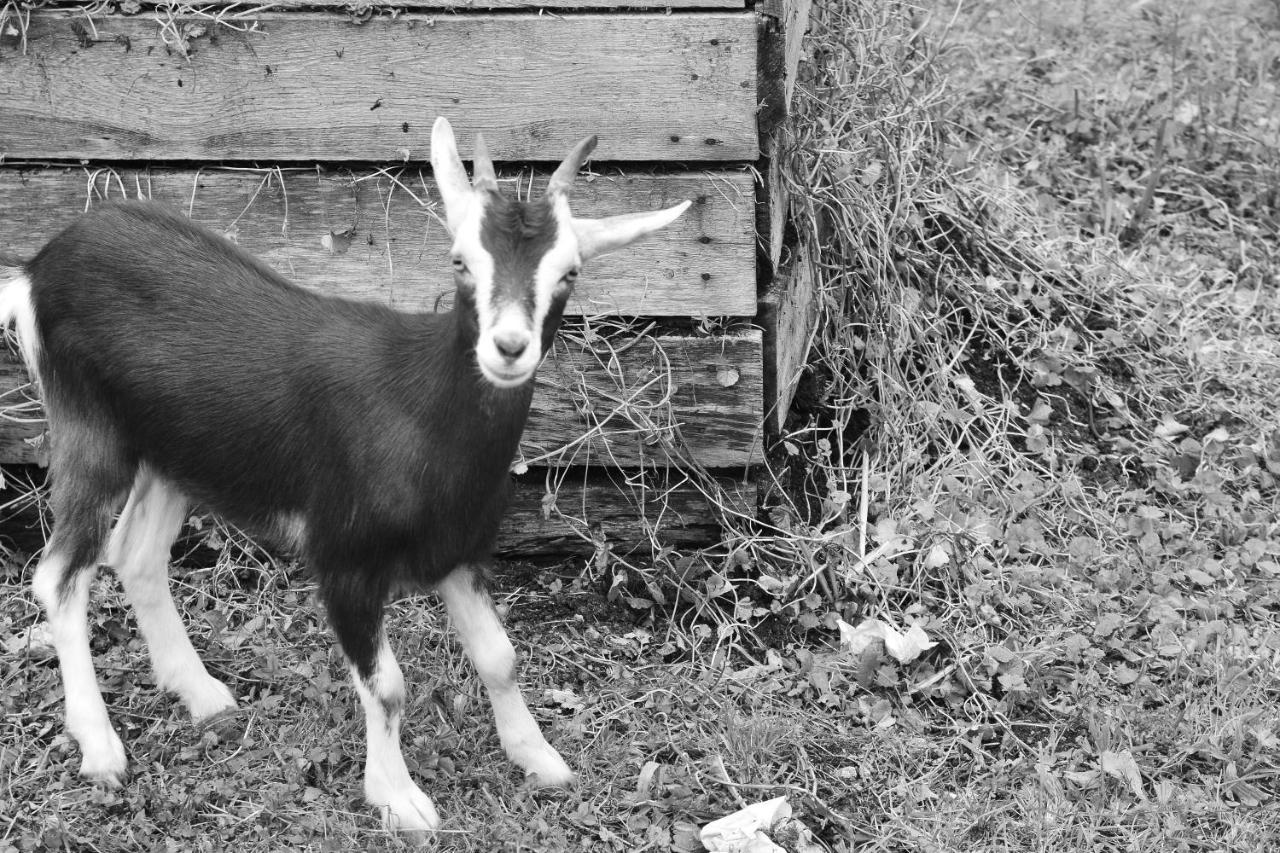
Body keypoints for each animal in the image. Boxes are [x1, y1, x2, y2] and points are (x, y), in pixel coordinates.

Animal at [0, 117, 691, 829]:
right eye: (460, 261)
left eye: (568, 272)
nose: (508, 347)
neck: (421, 414)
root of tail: (36, 268)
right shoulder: (344, 560)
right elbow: (388, 687)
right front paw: (399, 798)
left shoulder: (460, 550)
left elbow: (501, 659)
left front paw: (540, 759)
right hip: (89, 428)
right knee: (59, 575)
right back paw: (101, 748)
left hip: (173, 453)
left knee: (136, 555)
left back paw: (205, 697)